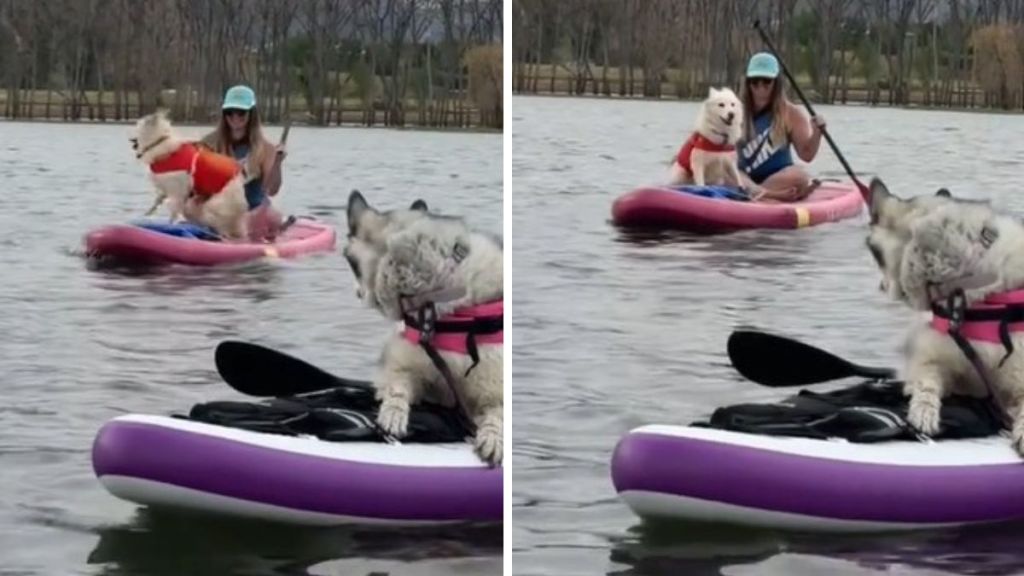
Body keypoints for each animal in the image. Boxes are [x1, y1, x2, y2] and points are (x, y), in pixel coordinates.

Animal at [133, 108, 250, 238]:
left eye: (137, 125)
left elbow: (172, 215)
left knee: (220, 228)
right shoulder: (167, 187)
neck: (160, 142)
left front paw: (169, 226)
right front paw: (147, 213)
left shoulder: (177, 192)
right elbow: (157, 200)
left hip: (213, 206)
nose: (130, 139)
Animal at [344, 190, 503, 463]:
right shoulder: (405, 363)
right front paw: (393, 411)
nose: (355, 292)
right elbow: (397, 384)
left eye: (353, 267)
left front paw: (493, 436)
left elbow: (498, 413)